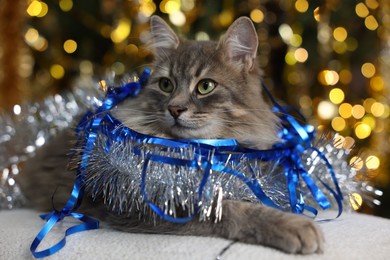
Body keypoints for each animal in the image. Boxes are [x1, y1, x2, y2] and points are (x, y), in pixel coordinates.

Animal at [16, 15, 324, 254]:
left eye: (205, 86)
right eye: (166, 84)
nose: (175, 108)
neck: (204, 148)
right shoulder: (150, 201)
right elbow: (232, 210)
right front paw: (293, 226)